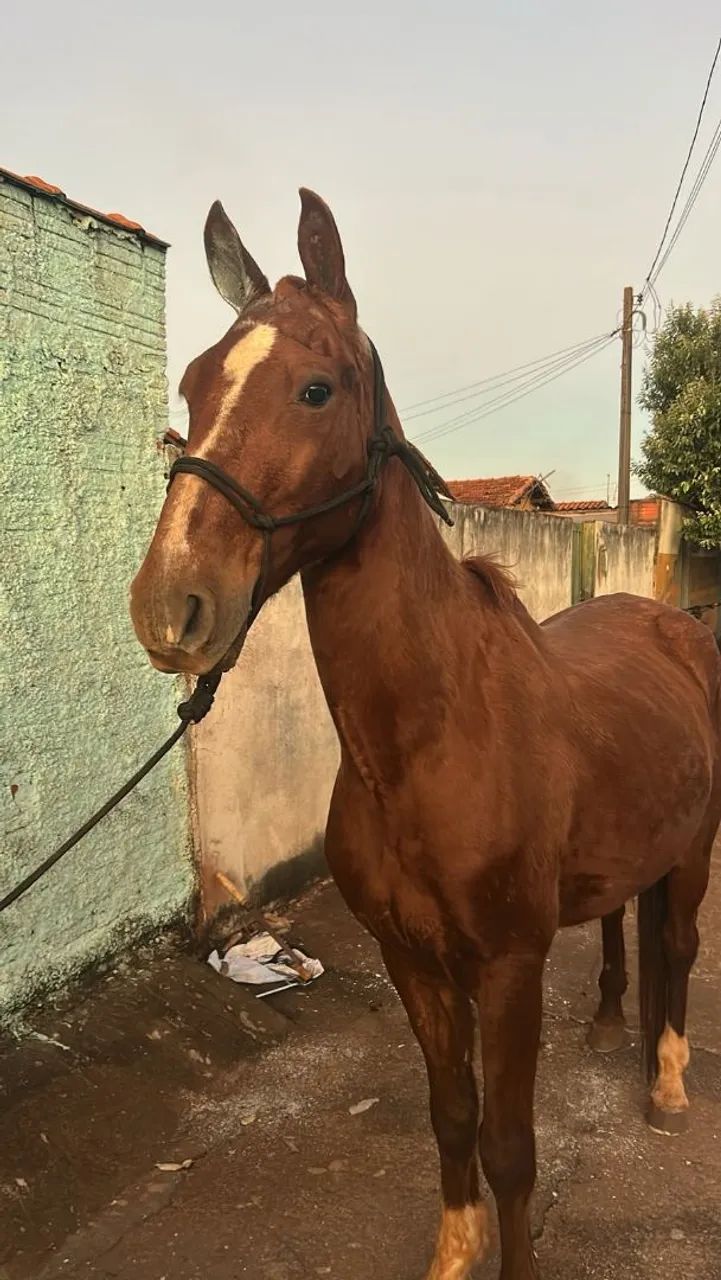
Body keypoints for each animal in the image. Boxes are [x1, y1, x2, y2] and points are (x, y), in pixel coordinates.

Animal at [130, 189, 721, 1280]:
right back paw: (610, 1020)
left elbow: (511, 1144)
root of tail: (671, 621)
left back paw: (663, 1080)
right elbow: (452, 1119)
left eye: (316, 389)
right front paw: (454, 1252)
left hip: (694, 847)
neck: (430, 743)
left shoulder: (507, 966)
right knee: (624, 925)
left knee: (681, 941)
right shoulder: (412, 960)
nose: (170, 605)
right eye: (193, 383)